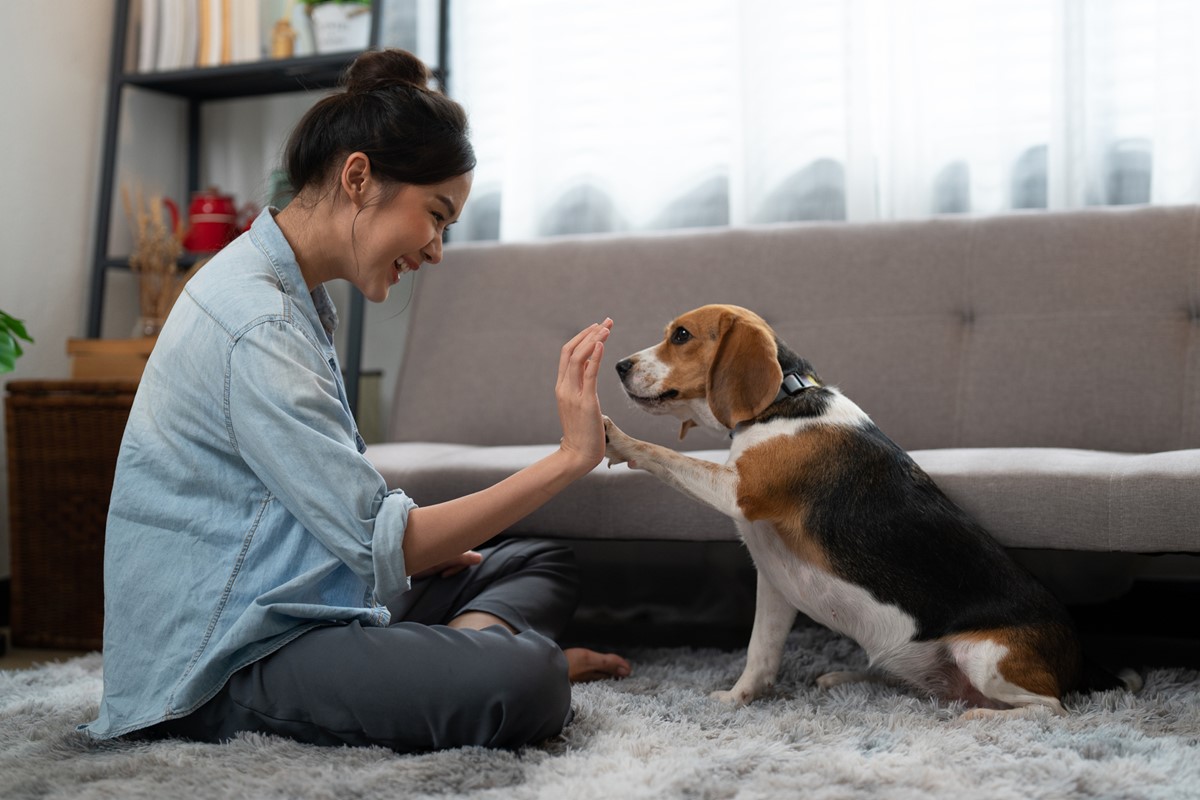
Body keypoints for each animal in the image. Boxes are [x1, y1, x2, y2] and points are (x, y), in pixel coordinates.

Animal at [604, 304, 1137, 719]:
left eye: (681, 336)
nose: (619, 365)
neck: (784, 399)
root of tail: (1079, 656)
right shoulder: (775, 582)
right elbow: (760, 653)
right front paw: (737, 700)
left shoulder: (738, 490)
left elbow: (662, 455)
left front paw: (614, 436)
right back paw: (845, 678)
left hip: (985, 656)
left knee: (1050, 710)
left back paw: (979, 718)